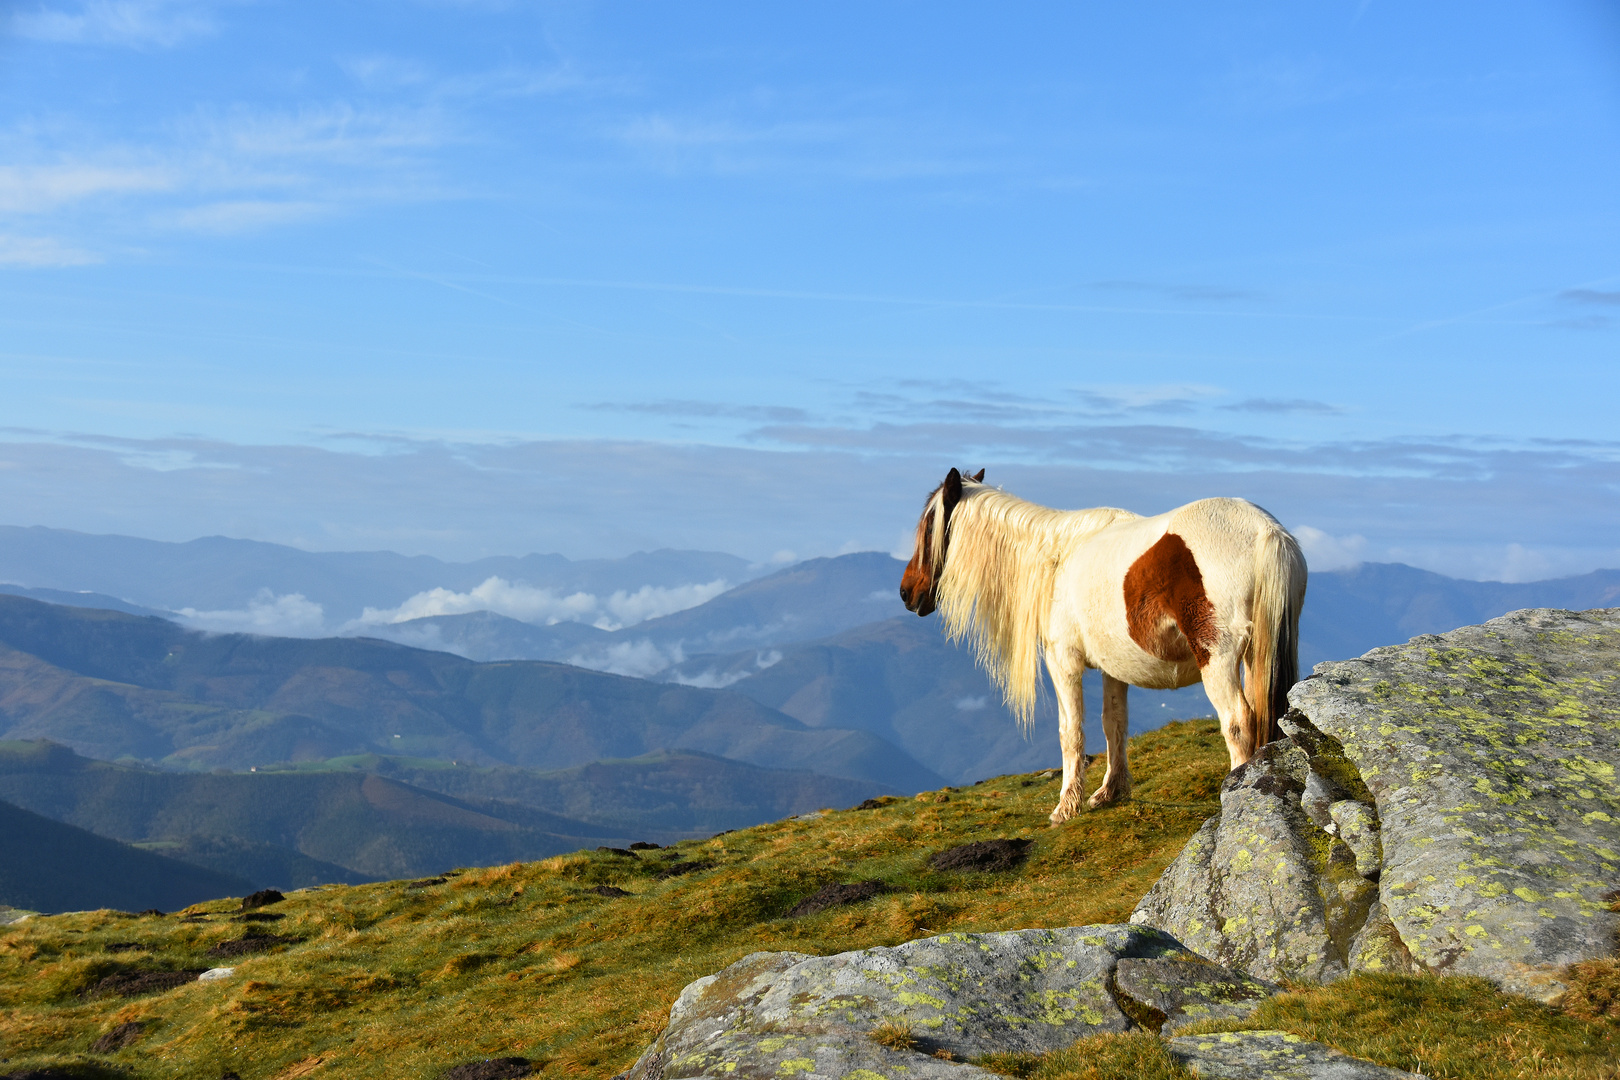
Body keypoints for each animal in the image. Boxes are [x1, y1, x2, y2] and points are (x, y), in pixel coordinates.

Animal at [900, 466, 1302, 829]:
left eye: (929, 527)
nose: (906, 592)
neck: (1057, 557)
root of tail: (1265, 531)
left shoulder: (1063, 661)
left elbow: (1071, 732)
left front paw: (1066, 807)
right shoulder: (1114, 667)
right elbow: (1114, 723)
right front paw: (1110, 792)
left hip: (1217, 659)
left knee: (1237, 721)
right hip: (1254, 657)